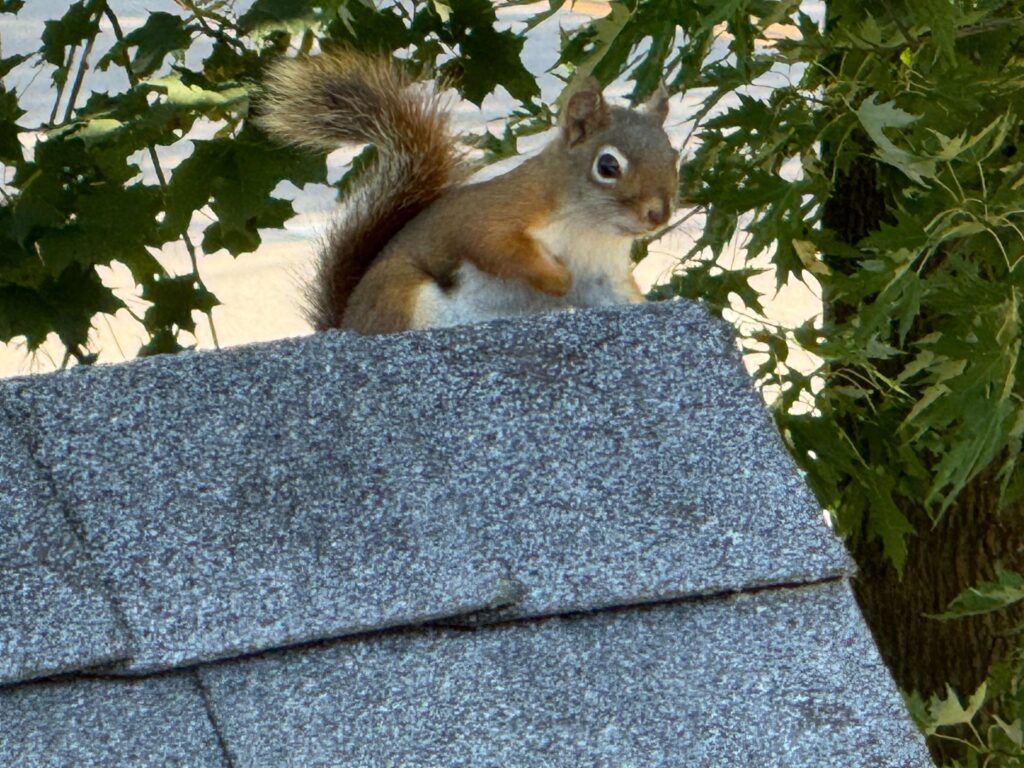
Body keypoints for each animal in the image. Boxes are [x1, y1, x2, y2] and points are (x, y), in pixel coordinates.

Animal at [257, 51, 679, 335]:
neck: (590, 229)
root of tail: (345, 323)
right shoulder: (498, 212)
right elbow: (494, 245)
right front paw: (556, 278)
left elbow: (618, 298)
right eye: (608, 166)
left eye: (673, 153)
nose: (658, 214)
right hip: (401, 297)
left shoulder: (603, 274)